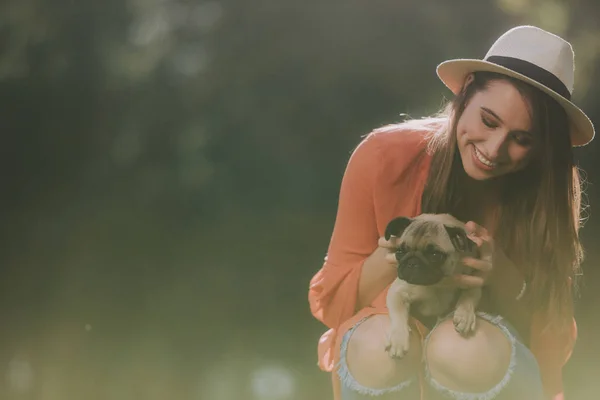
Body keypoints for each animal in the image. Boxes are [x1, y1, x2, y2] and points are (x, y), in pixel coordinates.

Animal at [384, 214, 482, 360]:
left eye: (435, 255)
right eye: (400, 251)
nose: (412, 263)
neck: (436, 284)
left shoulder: (474, 278)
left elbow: (471, 293)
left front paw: (465, 314)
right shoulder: (397, 292)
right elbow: (398, 315)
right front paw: (399, 339)